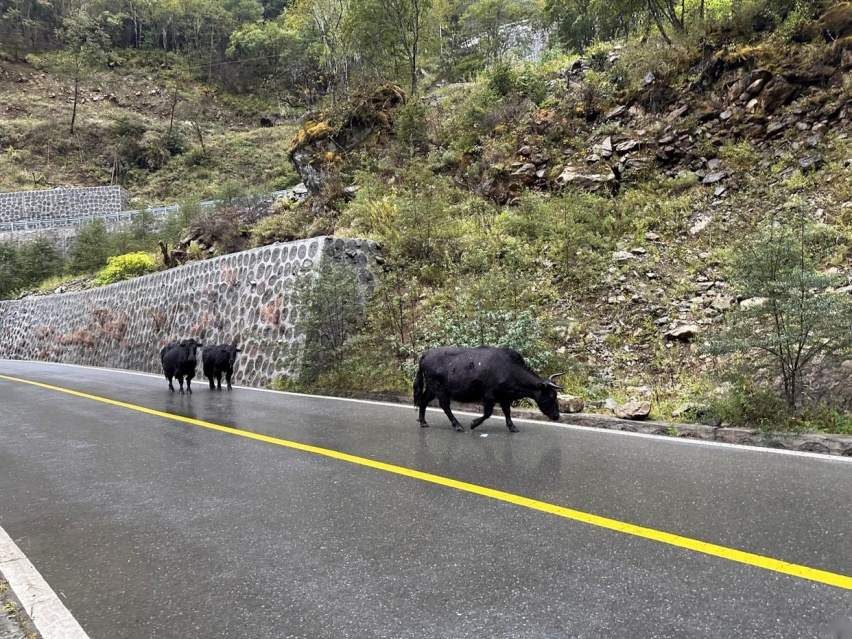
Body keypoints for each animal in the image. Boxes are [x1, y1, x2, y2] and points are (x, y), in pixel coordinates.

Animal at [414, 348, 564, 432]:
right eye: (552, 396)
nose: (557, 416)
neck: (509, 369)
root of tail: (425, 355)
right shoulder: (489, 395)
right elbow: (488, 413)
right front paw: (473, 424)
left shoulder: (505, 397)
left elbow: (507, 411)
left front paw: (512, 427)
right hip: (439, 389)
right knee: (444, 405)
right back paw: (457, 425)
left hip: (431, 389)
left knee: (423, 401)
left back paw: (423, 422)